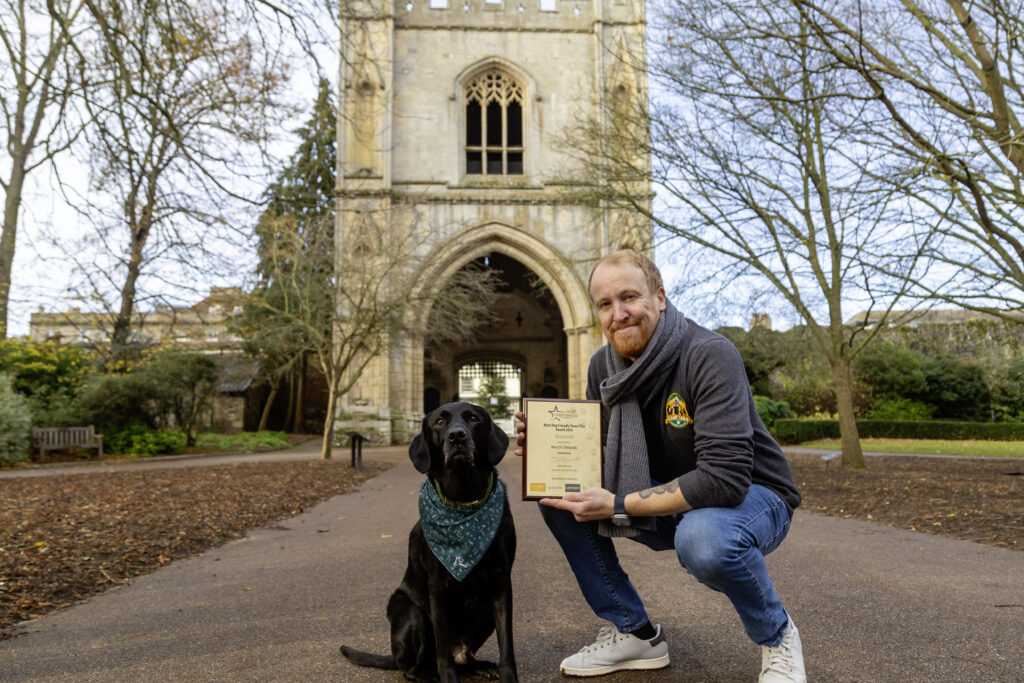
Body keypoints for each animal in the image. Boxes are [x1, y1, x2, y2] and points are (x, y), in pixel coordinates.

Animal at [342, 403, 520, 679]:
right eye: (439, 422)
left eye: (473, 418)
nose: (457, 436)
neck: (463, 501)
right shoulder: (437, 585)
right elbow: (443, 651)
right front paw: (448, 677)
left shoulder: (501, 582)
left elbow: (506, 643)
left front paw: (507, 675)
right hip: (411, 612)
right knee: (416, 667)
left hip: (486, 615)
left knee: (462, 659)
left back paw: (480, 666)